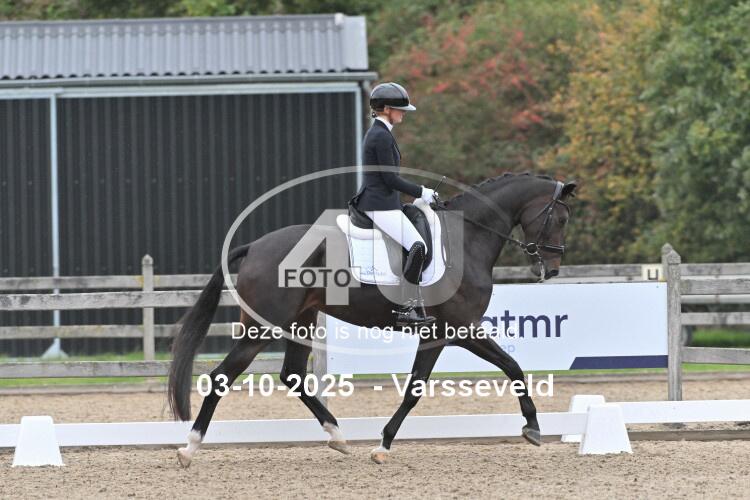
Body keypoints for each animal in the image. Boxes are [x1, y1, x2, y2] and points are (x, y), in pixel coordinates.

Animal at [167, 172, 577, 466]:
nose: (553, 269)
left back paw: (337, 436)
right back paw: (189, 447)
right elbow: (427, 387)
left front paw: (532, 427)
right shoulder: (454, 329)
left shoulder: (450, 331)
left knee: (293, 375)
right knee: (222, 375)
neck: (467, 239)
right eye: (558, 217)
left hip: (301, 320)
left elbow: (508, 368)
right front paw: (383, 445)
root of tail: (255, 246)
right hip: (263, 326)